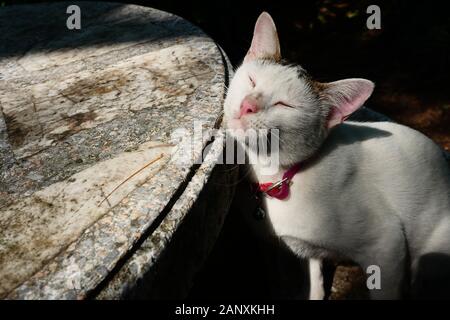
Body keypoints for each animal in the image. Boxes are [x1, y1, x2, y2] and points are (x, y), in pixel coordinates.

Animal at [224, 11, 450, 298]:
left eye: (284, 105)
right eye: (252, 80)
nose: (247, 105)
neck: (278, 176)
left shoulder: (387, 245)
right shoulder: (305, 251)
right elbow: (314, 281)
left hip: (427, 259)